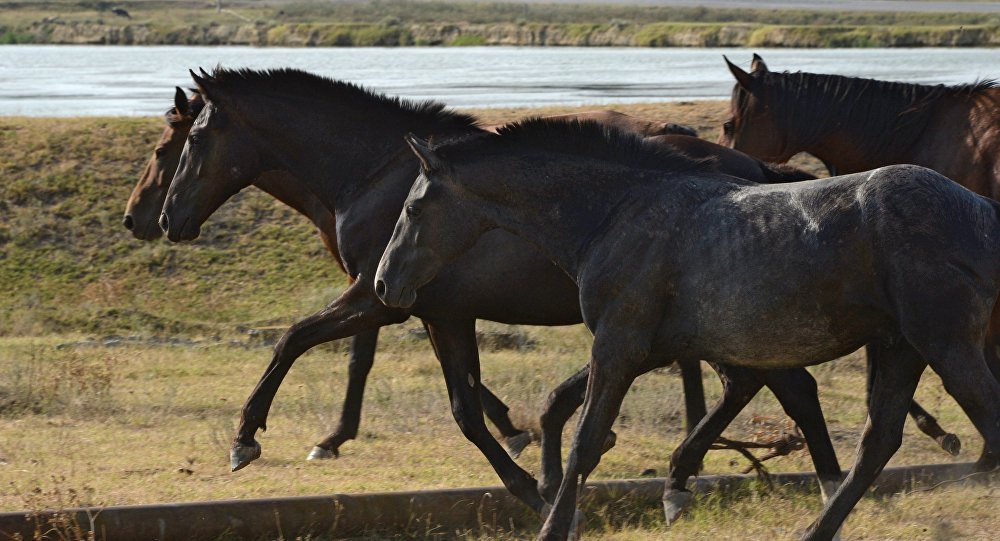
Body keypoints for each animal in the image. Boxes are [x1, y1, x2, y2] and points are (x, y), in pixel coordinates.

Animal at [156, 68, 840, 528]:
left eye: (185, 145)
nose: (163, 219)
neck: (374, 173)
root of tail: (759, 174)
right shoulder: (436, 310)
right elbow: (464, 404)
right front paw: (535, 469)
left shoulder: (384, 299)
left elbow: (295, 339)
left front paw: (247, 438)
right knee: (766, 384)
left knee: (778, 386)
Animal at [372, 119, 1000, 540]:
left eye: (414, 209)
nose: (383, 283)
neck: (617, 213)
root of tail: (982, 211)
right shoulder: (651, 346)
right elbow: (566, 412)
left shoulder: (619, 344)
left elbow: (585, 440)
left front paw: (557, 519)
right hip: (901, 346)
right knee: (877, 441)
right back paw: (816, 528)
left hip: (944, 343)